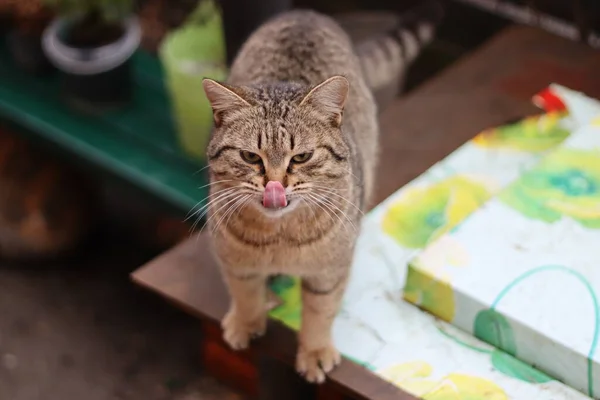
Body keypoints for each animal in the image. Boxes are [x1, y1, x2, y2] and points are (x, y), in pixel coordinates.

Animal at [202, 3, 440, 384]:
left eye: (301, 157)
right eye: (250, 157)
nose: (274, 185)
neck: (279, 238)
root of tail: (304, 12)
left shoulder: (330, 271)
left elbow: (319, 312)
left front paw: (314, 353)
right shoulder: (234, 261)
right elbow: (245, 293)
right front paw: (245, 323)